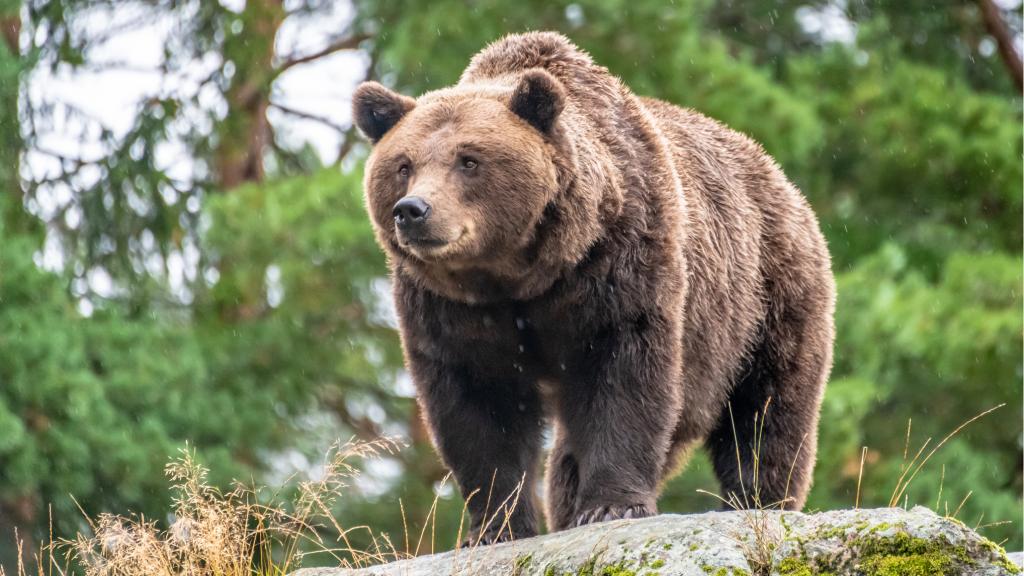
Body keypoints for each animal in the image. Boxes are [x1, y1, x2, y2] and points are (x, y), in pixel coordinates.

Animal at [352, 31, 835, 544]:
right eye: (403, 165)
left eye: (469, 160)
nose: (413, 210)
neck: (519, 275)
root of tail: (775, 173)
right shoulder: (450, 310)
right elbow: (478, 406)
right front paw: (495, 527)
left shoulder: (620, 266)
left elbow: (625, 377)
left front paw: (611, 506)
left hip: (764, 297)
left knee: (767, 408)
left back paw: (759, 501)